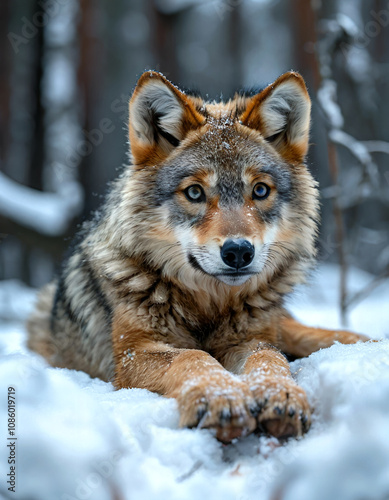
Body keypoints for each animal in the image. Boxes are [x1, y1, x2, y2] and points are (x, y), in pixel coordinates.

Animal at [27, 69, 366, 442]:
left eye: (260, 190)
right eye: (194, 192)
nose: (238, 251)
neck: (208, 306)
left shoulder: (252, 339)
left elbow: (269, 358)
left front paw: (283, 395)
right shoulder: (131, 354)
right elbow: (191, 357)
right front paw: (221, 399)